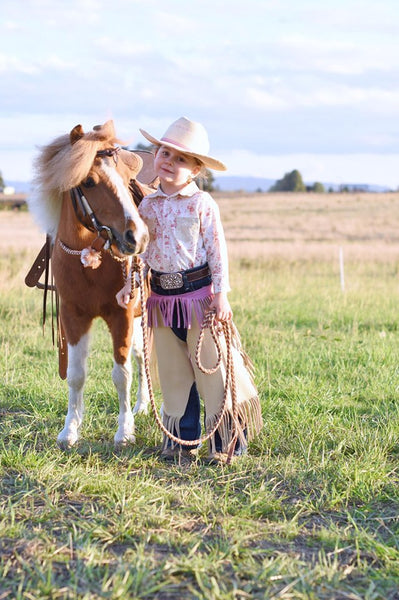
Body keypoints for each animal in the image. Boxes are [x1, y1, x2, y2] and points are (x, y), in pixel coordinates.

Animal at [27, 122, 156, 448]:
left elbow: (121, 374)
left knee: (145, 358)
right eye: (88, 182)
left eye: (127, 179)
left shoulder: (122, 316)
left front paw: (124, 432)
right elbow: (76, 374)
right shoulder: (73, 317)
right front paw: (70, 431)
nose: (137, 237)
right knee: (141, 355)